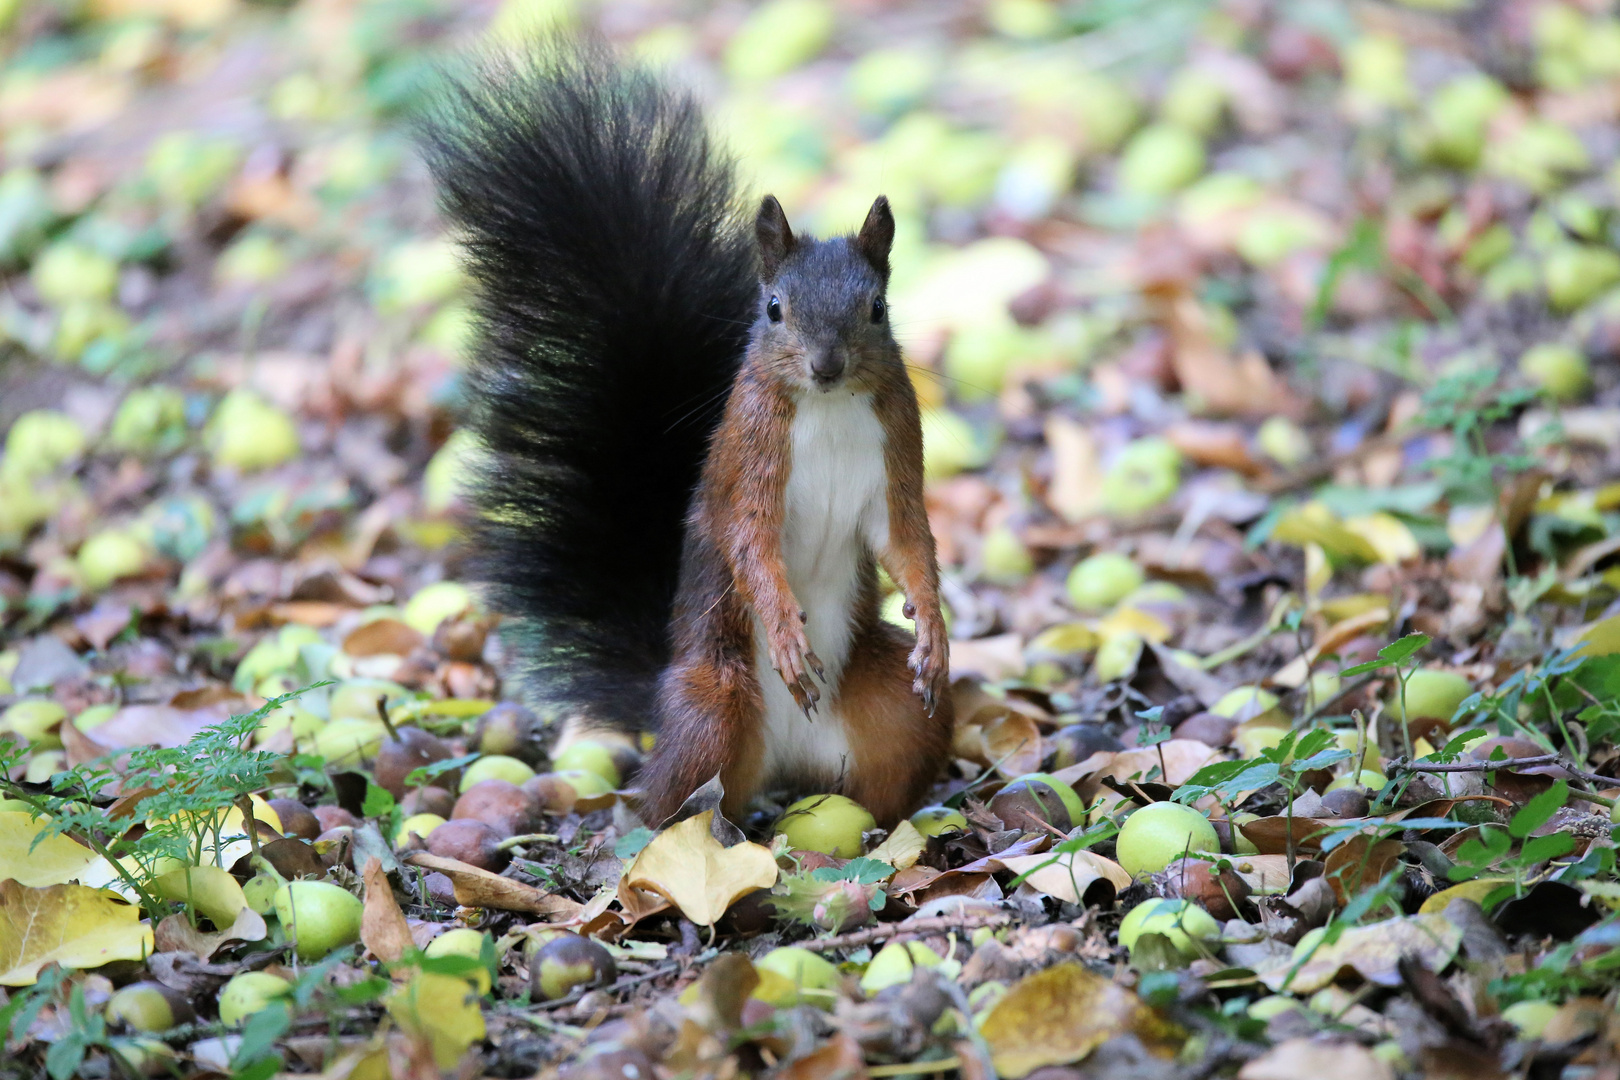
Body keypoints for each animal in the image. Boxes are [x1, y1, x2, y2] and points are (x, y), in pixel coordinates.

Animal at [424, 35, 952, 829]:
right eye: (773, 308)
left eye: (878, 309)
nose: (827, 366)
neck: (827, 409)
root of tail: (785, 758)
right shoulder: (750, 457)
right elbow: (750, 542)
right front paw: (786, 630)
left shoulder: (896, 452)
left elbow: (907, 539)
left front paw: (935, 630)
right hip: (715, 705)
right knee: (671, 795)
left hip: (891, 708)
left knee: (891, 759)